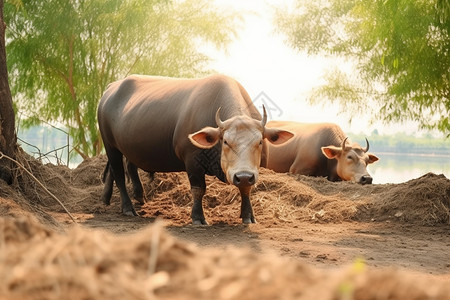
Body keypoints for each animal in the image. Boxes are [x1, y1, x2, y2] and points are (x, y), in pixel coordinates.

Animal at [98, 74, 294, 225]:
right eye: (225, 142)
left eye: (259, 142)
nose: (243, 175)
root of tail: (110, 89)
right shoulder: (192, 162)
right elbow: (198, 190)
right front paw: (198, 217)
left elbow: (246, 190)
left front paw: (248, 216)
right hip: (110, 145)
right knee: (119, 174)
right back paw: (127, 207)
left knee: (128, 166)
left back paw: (132, 197)